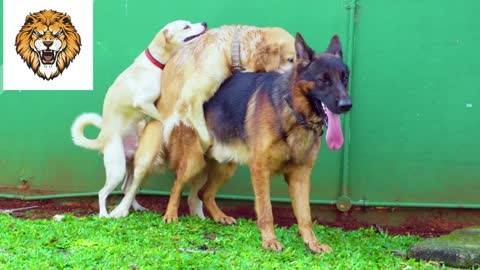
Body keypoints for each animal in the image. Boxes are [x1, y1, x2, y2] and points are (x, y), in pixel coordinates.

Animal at [71, 20, 206, 217]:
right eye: (186, 27)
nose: (204, 23)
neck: (155, 63)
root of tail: (101, 139)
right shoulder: (143, 103)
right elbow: (162, 118)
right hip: (117, 169)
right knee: (103, 192)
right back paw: (105, 215)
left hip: (132, 166)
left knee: (127, 188)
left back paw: (136, 208)